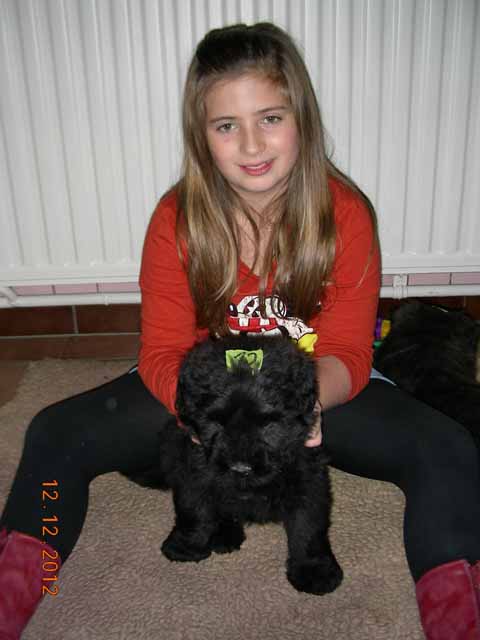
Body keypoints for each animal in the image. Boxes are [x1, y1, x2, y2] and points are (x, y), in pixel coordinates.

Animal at [124, 334, 343, 595]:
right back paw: (223, 534)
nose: (240, 468)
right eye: (216, 422)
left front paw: (314, 570)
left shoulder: (307, 475)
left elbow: (308, 525)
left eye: (268, 424)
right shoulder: (194, 467)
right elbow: (194, 508)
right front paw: (186, 545)